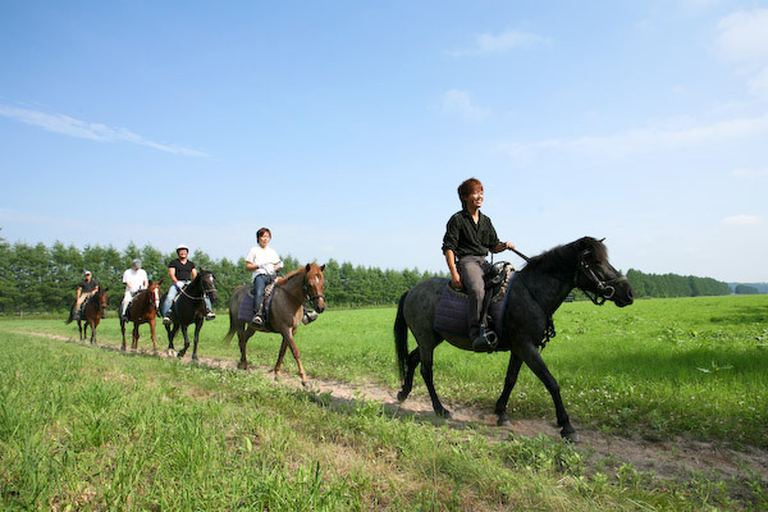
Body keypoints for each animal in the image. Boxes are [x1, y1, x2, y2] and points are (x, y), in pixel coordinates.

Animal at [392, 236, 632, 440]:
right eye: (597, 262)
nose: (628, 293)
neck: (532, 294)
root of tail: (411, 291)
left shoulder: (519, 348)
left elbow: (511, 379)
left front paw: (501, 413)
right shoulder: (526, 347)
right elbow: (551, 382)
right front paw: (567, 426)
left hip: (432, 339)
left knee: (412, 359)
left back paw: (403, 393)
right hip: (426, 339)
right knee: (427, 371)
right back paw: (440, 409)